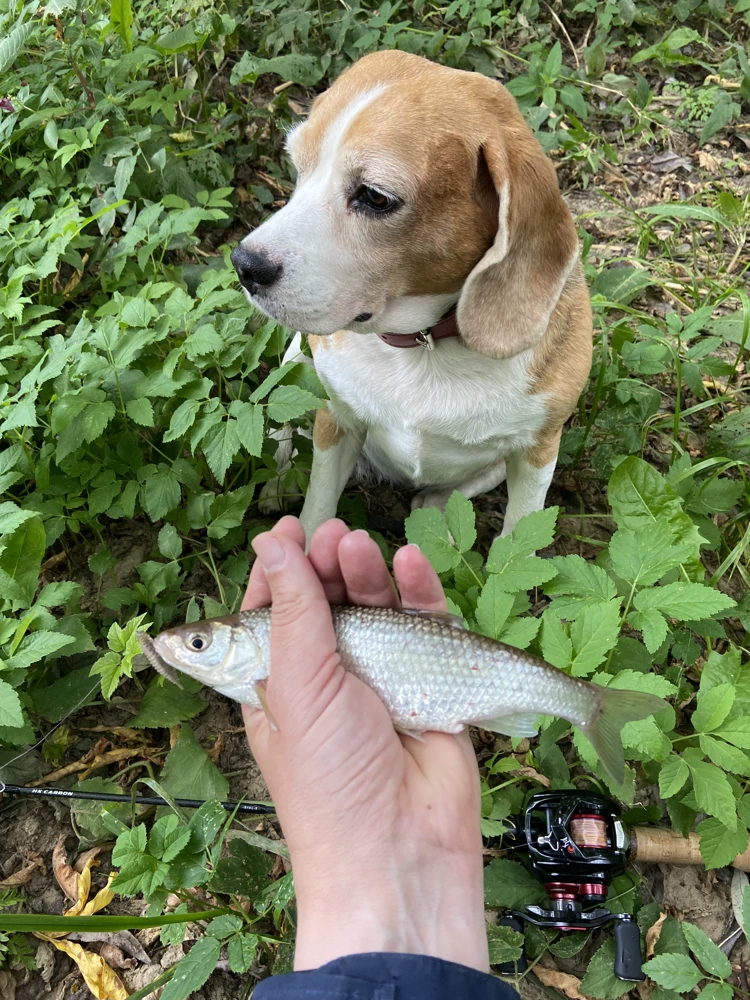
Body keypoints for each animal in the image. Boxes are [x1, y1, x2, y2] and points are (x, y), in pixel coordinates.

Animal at [231, 48, 592, 540]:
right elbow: (316, 512)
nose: (244, 264)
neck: (423, 345)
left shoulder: (538, 450)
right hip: (299, 360)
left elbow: (519, 538)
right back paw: (279, 482)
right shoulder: (337, 418)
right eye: (298, 168)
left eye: (375, 197)